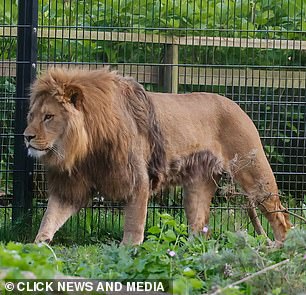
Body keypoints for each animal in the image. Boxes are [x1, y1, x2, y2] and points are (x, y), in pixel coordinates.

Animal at [23, 67, 292, 245]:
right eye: (32, 116)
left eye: (49, 117)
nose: (26, 136)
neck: (85, 147)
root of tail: (238, 106)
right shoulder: (72, 185)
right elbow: (49, 218)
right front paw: (36, 251)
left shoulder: (137, 182)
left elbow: (133, 226)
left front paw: (126, 255)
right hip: (198, 185)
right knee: (199, 228)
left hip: (255, 174)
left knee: (282, 219)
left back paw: (280, 251)